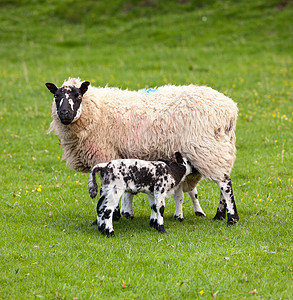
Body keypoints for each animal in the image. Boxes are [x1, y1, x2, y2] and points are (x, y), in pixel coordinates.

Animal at [45, 77, 237, 225]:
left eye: (78, 96)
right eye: (56, 96)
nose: (64, 113)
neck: (96, 110)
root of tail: (230, 109)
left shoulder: (104, 154)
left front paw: (112, 216)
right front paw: (122, 213)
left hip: (207, 149)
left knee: (224, 184)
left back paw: (232, 218)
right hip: (219, 149)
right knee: (223, 181)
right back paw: (219, 215)